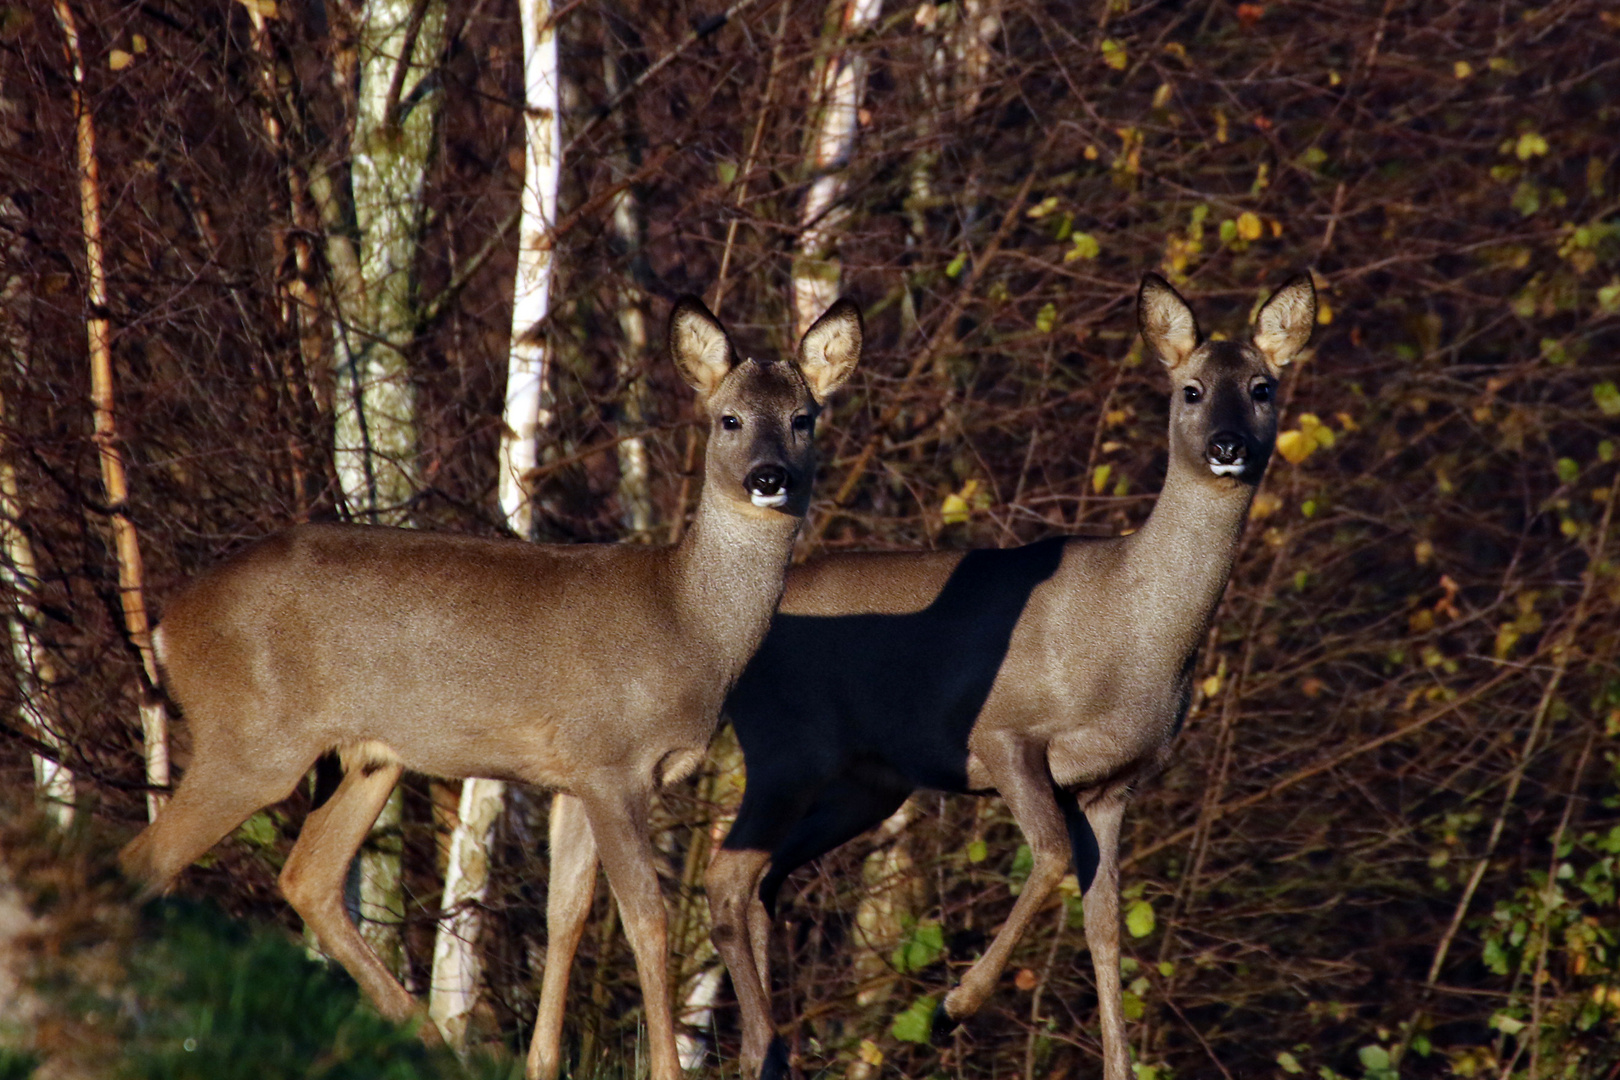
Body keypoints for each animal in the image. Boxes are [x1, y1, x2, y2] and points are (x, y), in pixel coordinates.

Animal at [118, 296, 868, 1080]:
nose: (770, 477)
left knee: (307, 877)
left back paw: (425, 1034)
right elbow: (646, 917)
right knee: (144, 863)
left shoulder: (573, 777)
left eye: (804, 417)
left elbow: (566, 915)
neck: (687, 624)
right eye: (729, 418)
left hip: (369, 757)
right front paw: (665, 1068)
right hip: (251, 738)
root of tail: (168, 627)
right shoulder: (613, 763)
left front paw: (541, 1062)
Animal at [693, 272, 1315, 1080]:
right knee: (730, 878)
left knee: (766, 881)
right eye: (1192, 389)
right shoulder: (1004, 734)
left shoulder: (1113, 784)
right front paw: (953, 1006)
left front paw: (1117, 1065)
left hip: (868, 781)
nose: (1227, 445)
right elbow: (1049, 857)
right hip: (785, 753)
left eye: (1263, 387)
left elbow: (1105, 923)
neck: (1130, 631)